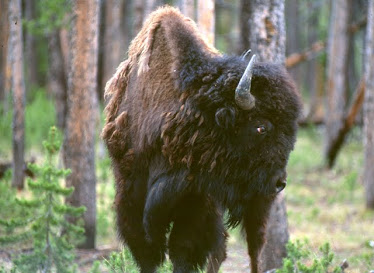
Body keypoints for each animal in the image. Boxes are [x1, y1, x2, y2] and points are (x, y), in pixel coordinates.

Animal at [102, 6, 300, 272]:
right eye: (261, 127)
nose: (280, 183)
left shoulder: (196, 200)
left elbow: (184, 249)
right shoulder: (130, 191)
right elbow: (146, 250)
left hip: (256, 204)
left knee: (252, 249)